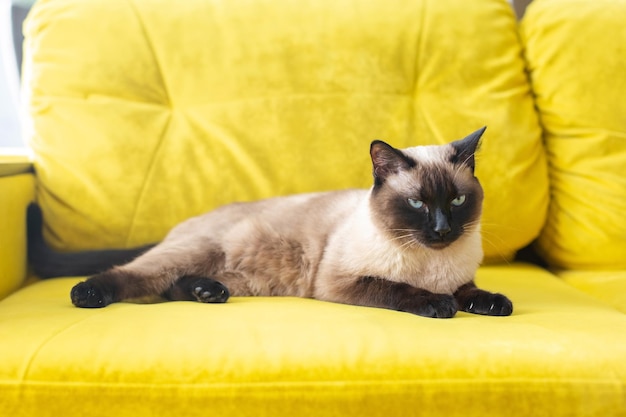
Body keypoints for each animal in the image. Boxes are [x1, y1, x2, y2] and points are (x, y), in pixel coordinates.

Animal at [26, 125, 510, 316]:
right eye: (416, 204)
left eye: (458, 200)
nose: (443, 230)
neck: (433, 264)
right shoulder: (341, 282)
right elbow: (400, 290)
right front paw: (437, 305)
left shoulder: (459, 278)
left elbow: (471, 292)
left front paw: (493, 303)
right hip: (194, 250)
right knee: (133, 276)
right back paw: (87, 294)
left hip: (244, 279)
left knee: (172, 287)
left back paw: (207, 292)